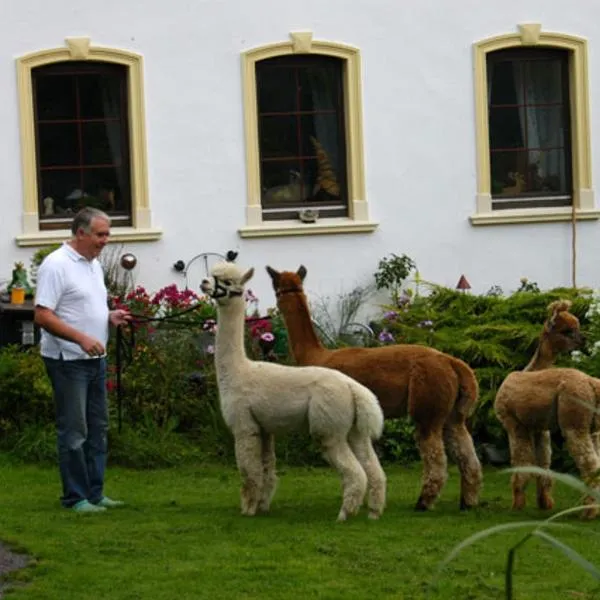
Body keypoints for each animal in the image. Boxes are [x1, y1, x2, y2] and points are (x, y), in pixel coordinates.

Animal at [200, 261, 386, 521]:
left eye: (227, 282)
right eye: (212, 275)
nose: (204, 283)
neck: (239, 371)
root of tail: (353, 387)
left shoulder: (244, 425)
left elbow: (249, 471)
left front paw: (248, 510)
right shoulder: (264, 428)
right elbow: (267, 469)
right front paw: (262, 506)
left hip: (328, 427)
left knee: (355, 472)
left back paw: (344, 514)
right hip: (354, 429)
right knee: (373, 468)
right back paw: (374, 512)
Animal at [266, 265, 483, 512]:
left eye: (274, 285)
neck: (316, 356)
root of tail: (452, 362)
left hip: (428, 405)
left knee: (436, 457)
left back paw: (423, 502)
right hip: (453, 414)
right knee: (467, 452)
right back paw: (468, 501)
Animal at [494, 300, 600, 518]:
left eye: (576, 328)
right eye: (567, 330)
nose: (583, 339)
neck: (530, 370)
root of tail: (591, 383)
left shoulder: (513, 423)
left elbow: (523, 462)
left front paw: (517, 504)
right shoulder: (539, 428)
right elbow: (543, 463)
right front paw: (544, 503)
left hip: (574, 421)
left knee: (590, 465)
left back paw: (588, 512)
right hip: (593, 427)